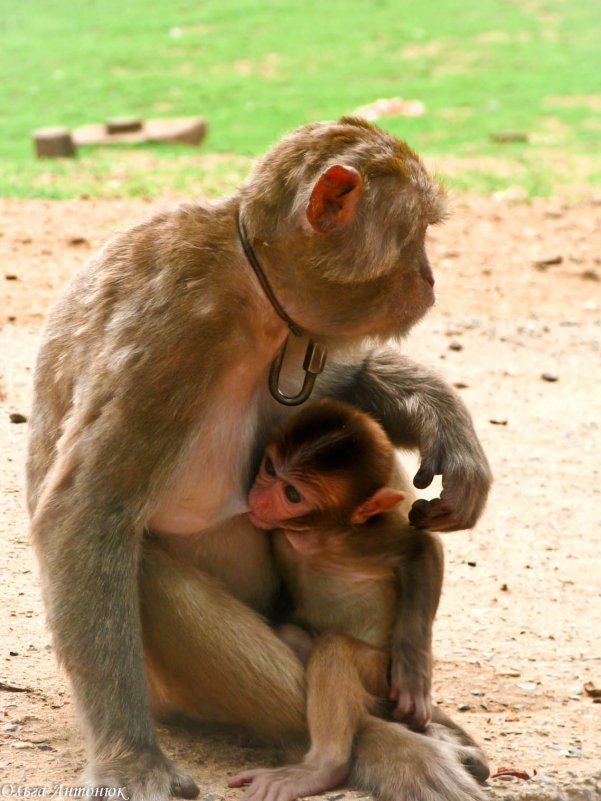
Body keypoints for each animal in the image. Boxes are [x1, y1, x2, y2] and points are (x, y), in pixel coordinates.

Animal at [232, 400, 448, 800]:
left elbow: (421, 547)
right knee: (292, 635)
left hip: (377, 675)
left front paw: (414, 674)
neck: (310, 533)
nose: (258, 497)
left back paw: (320, 769)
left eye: (293, 494)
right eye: (269, 468)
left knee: (336, 649)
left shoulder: (356, 539)